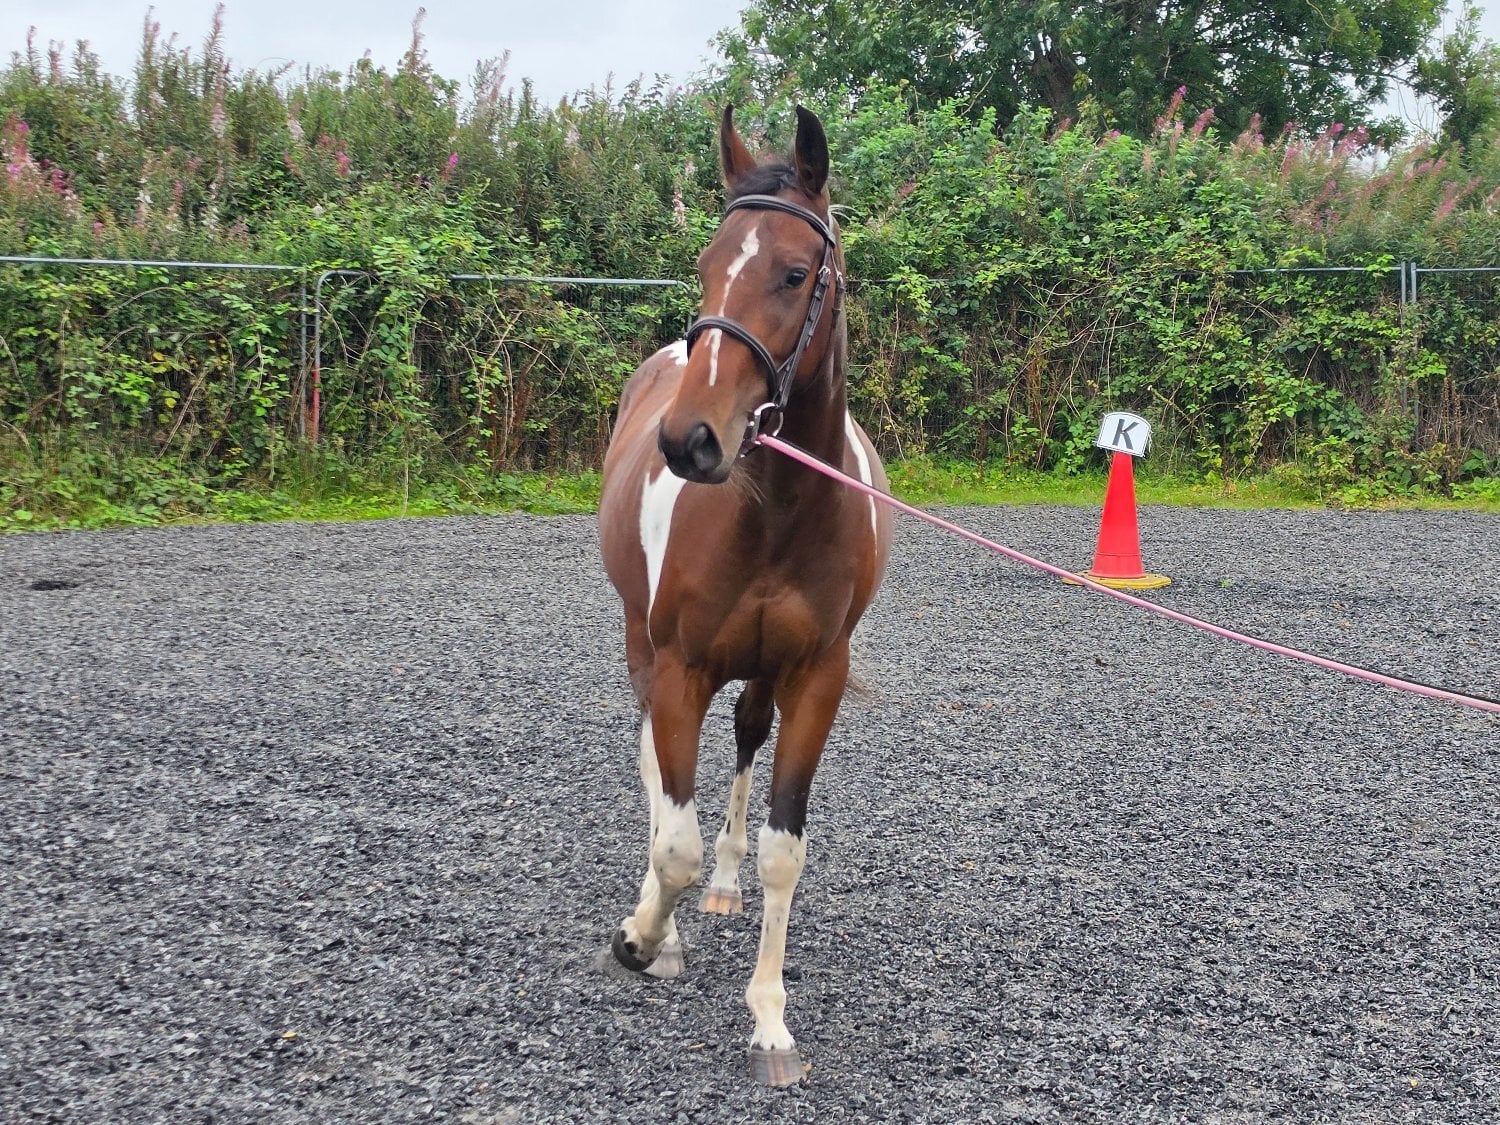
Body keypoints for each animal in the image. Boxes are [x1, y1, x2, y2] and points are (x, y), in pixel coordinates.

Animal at [596, 104, 894, 1086]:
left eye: (795, 273)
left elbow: (782, 852)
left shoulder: (814, 677)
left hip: (758, 673)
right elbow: (673, 840)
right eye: (706, 265)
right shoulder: (680, 666)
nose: (689, 440)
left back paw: (722, 889)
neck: (775, 514)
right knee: (656, 767)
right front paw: (644, 939)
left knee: (742, 744)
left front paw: (769, 1017)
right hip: (641, 642)